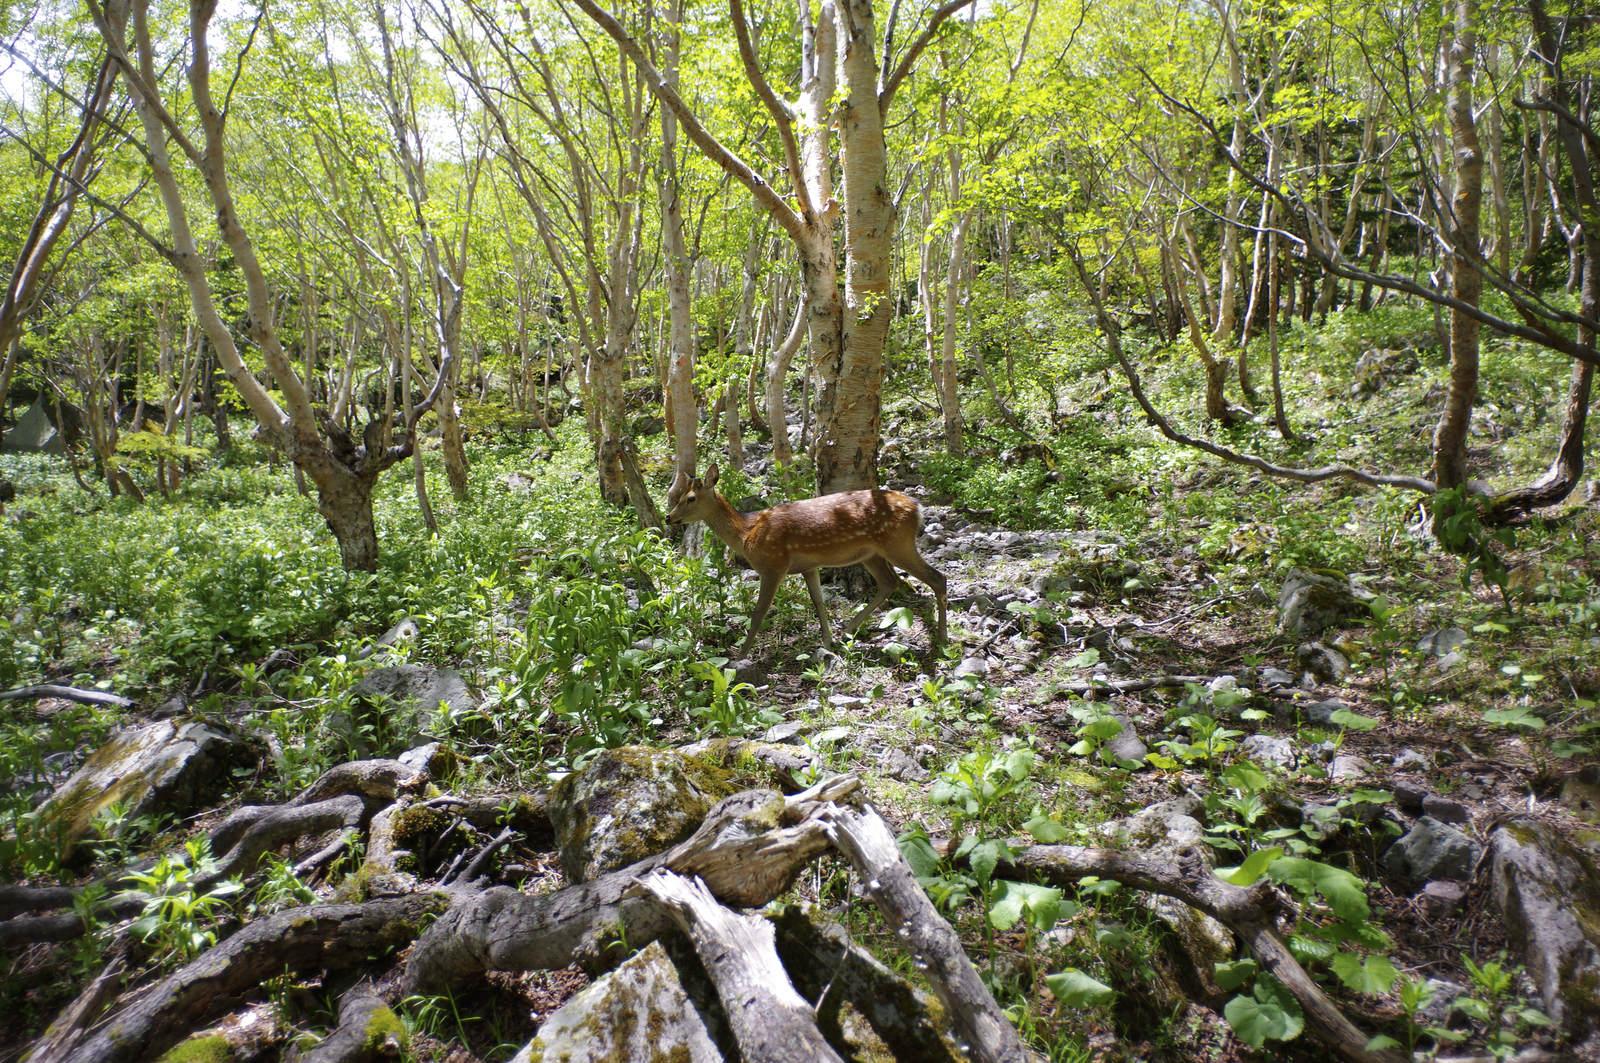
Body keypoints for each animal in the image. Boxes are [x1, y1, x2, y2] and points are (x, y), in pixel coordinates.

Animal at [666, 465, 948, 655]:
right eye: (678, 497)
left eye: (690, 498)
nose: (669, 517)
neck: (746, 533)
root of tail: (917, 507)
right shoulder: (808, 566)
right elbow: (818, 602)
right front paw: (826, 641)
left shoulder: (773, 565)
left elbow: (758, 612)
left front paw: (741, 654)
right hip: (872, 553)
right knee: (890, 583)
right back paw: (848, 629)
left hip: (897, 543)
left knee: (938, 578)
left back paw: (943, 638)